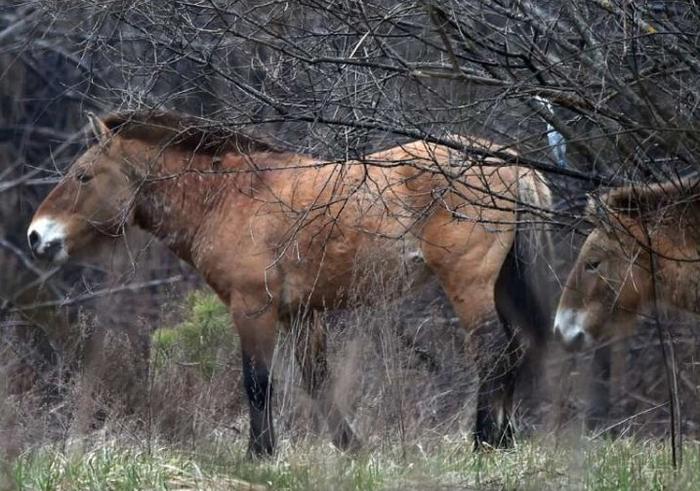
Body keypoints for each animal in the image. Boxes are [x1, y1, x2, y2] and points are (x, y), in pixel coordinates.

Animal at [27, 109, 556, 456]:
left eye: (83, 175)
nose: (37, 236)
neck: (228, 197)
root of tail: (512, 163)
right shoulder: (302, 314)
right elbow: (316, 382)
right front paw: (351, 447)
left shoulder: (253, 308)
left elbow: (258, 383)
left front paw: (261, 454)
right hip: (501, 284)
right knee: (515, 348)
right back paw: (504, 440)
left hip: (469, 284)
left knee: (493, 352)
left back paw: (483, 441)